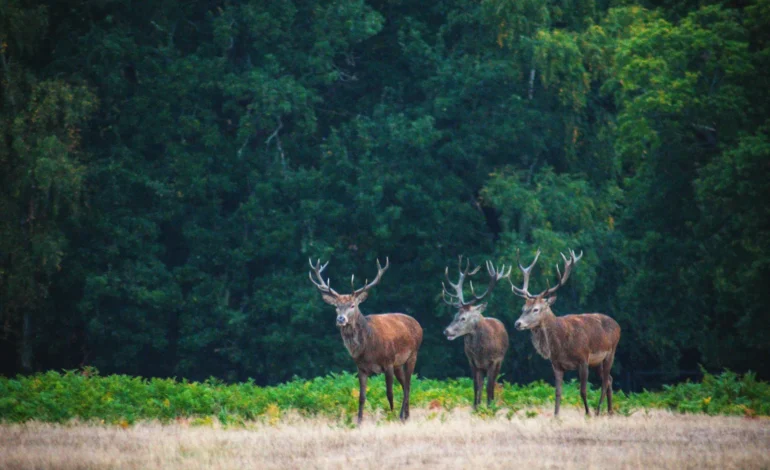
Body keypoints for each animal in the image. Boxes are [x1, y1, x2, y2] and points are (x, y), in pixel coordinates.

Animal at [308, 257, 423, 424]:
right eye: (336, 306)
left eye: (352, 305)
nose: (340, 319)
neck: (368, 348)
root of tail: (418, 324)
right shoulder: (361, 368)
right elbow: (361, 397)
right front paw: (359, 422)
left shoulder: (388, 362)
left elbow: (389, 393)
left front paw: (391, 414)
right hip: (398, 364)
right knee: (405, 385)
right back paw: (406, 415)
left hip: (412, 354)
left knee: (408, 385)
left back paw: (402, 416)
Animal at [442, 257, 511, 409]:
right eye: (455, 315)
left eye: (463, 318)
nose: (446, 331)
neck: (481, 352)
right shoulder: (472, 362)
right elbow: (476, 386)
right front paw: (476, 407)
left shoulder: (494, 361)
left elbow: (489, 387)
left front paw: (490, 407)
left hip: (500, 362)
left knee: (492, 384)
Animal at [509, 249, 620, 416]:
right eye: (523, 308)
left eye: (536, 309)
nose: (517, 323)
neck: (561, 345)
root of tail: (618, 325)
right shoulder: (557, 365)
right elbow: (558, 392)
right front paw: (556, 416)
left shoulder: (583, 359)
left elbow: (583, 391)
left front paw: (587, 414)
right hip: (597, 362)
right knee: (609, 380)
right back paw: (610, 411)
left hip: (610, 352)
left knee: (604, 382)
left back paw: (598, 411)